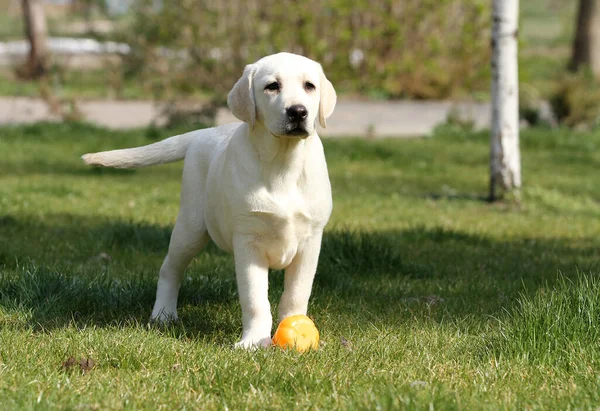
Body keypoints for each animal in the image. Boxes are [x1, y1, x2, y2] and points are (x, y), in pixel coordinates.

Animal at [82, 50, 338, 348]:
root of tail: (203, 132)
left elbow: (296, 294)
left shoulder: (310, 241)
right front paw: (254, 341)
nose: (298, 111)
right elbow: (255, 300)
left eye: (310, 86)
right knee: (170, 269)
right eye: (272, 86)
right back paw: (163, 314)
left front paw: (296, 328)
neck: (282, 162)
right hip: (190, 228)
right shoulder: (248, 241)